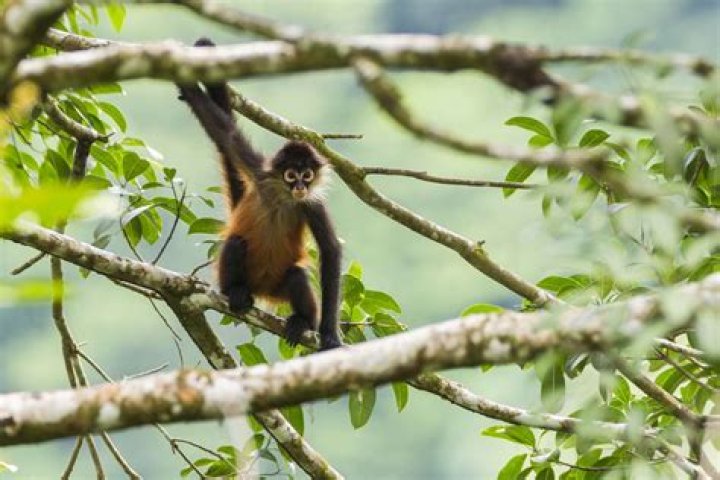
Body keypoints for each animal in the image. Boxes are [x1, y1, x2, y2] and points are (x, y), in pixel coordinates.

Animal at [177, 38, 343, 351]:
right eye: (290, 174)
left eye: (307, 174)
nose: (300, 186)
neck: (282, 198)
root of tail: (262, 288)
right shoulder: (259, 172)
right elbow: (225, 133)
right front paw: (186, 84)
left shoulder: (312, 204)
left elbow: (330, 251)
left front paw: (329, 333)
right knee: (235, 242)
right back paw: (236, 292)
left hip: (280, 285)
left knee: (297, 275)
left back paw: (303, 321)